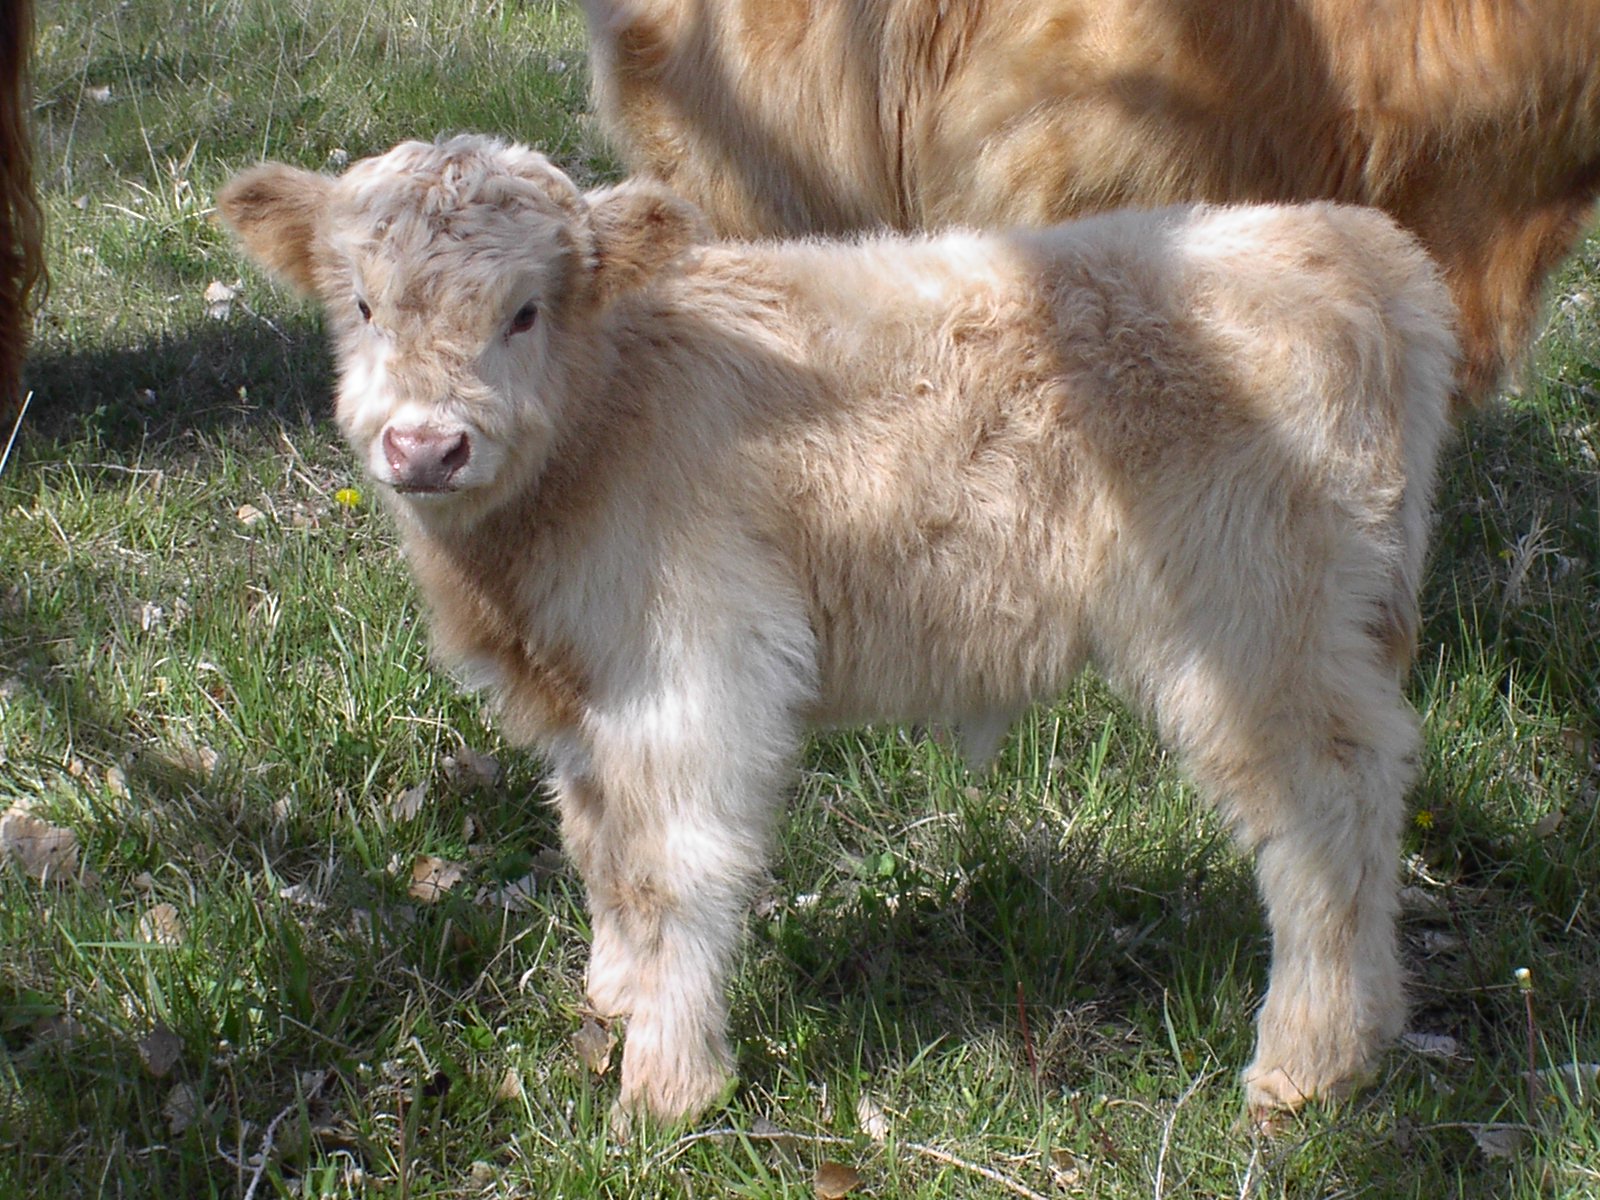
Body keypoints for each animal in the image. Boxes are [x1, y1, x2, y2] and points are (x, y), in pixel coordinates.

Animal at [219, 135, 1457, 1126]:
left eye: (524, 311)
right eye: (364, 306)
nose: (425, 447)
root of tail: (1351, 245)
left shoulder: (696, 669)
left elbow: (673, 865)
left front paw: (666, 1088)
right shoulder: (587, 692)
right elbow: (599, 842)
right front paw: (614, 993)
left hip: (1255, 621)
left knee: (1326, 811)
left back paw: (1308, 1063)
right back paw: (1376, 1030)